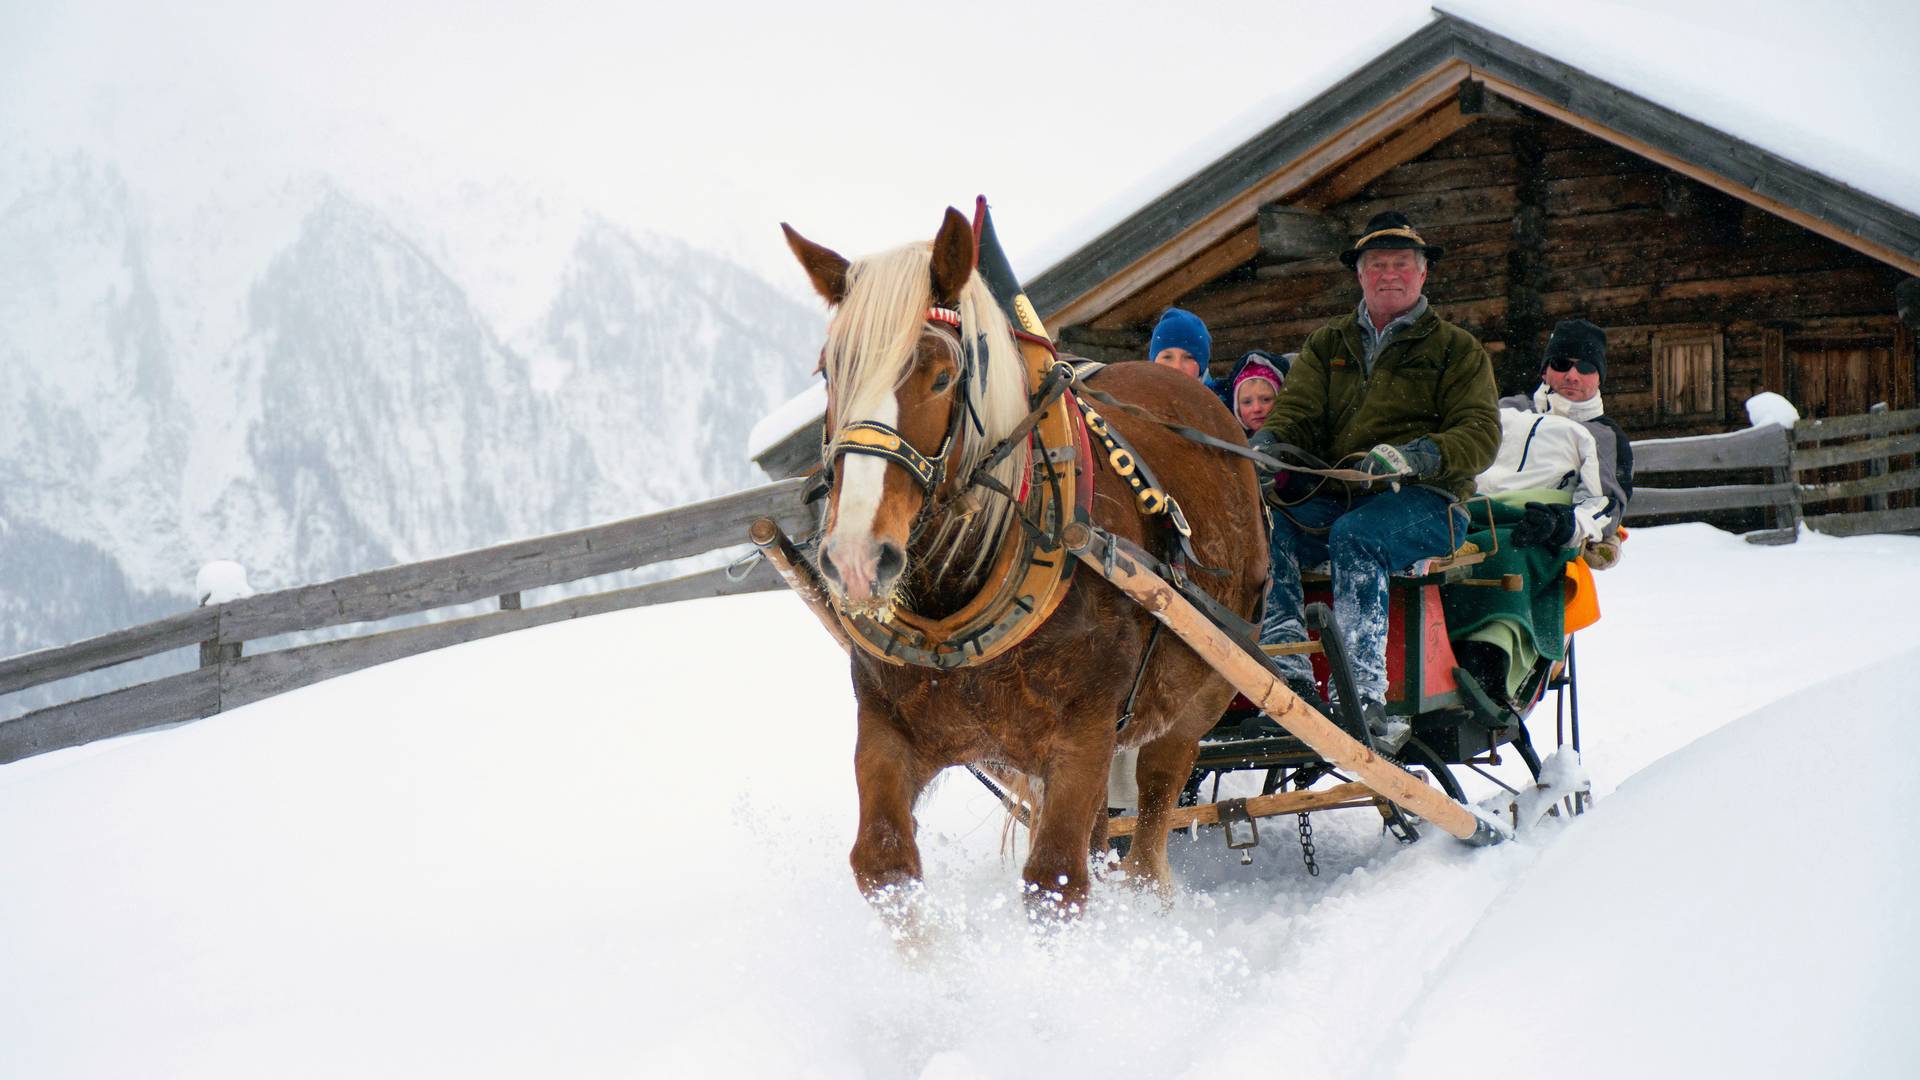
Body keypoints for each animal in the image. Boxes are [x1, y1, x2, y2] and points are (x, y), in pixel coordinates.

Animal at [779, 205, 1274, 910]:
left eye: (942, 374)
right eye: (830, 371)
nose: (855, 558)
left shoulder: (1083, 731)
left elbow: (1055, 881)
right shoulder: (887, 724)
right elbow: (882, 864)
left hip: (1204, 690)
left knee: (1152, 822)